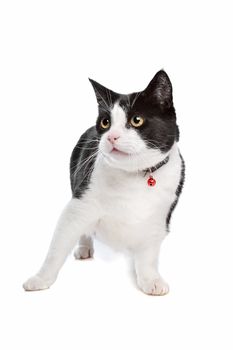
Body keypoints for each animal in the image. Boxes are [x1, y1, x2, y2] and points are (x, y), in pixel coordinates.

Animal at [23, 70, 184, 296]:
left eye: (136, 120)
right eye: (106, 122)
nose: (111, 136)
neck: (134, 175)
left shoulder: (159, 219)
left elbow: (149, 255)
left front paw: (151, 280)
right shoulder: (79, 204)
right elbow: (58, 247)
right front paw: (40, 279)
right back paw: (84, 248)